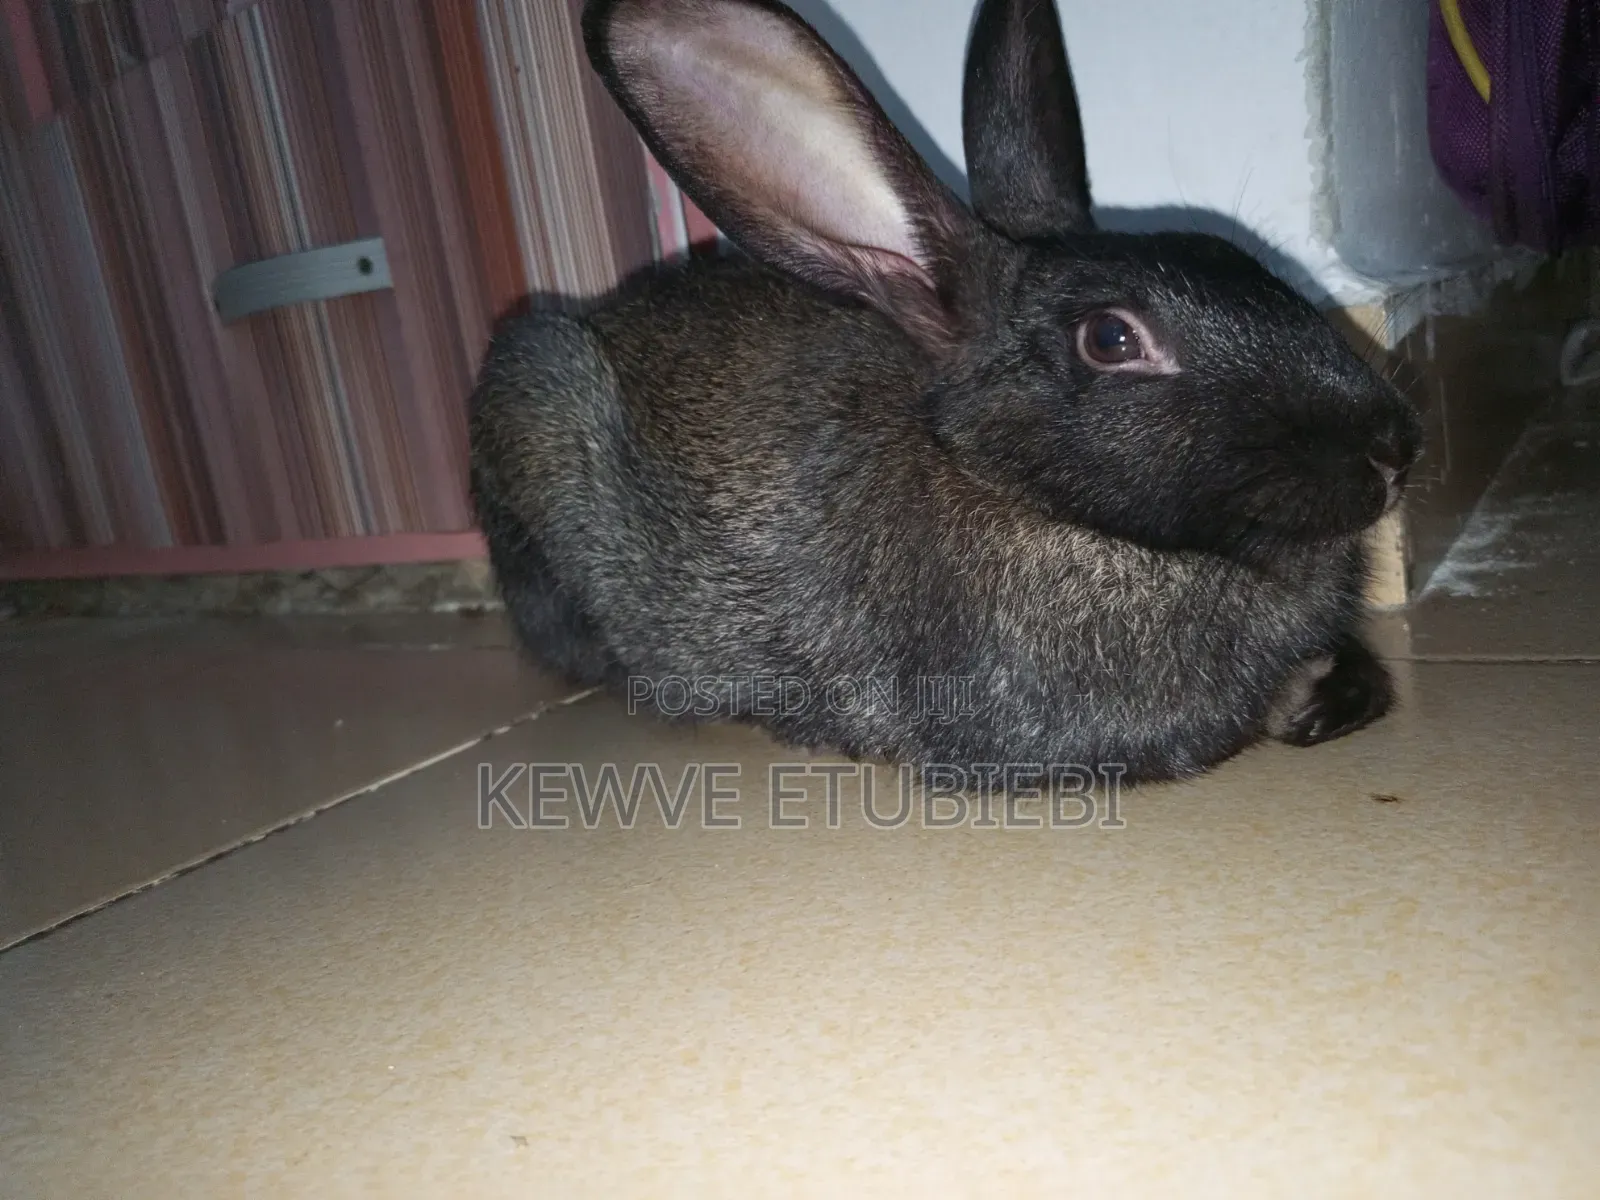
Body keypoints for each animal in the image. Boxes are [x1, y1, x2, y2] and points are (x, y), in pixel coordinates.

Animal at [467, 0, 1423, 785]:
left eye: (1246, 261)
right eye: (1111, 339)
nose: (1392, 449)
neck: (999, 481)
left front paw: (1337, 689)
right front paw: (1301, 697)